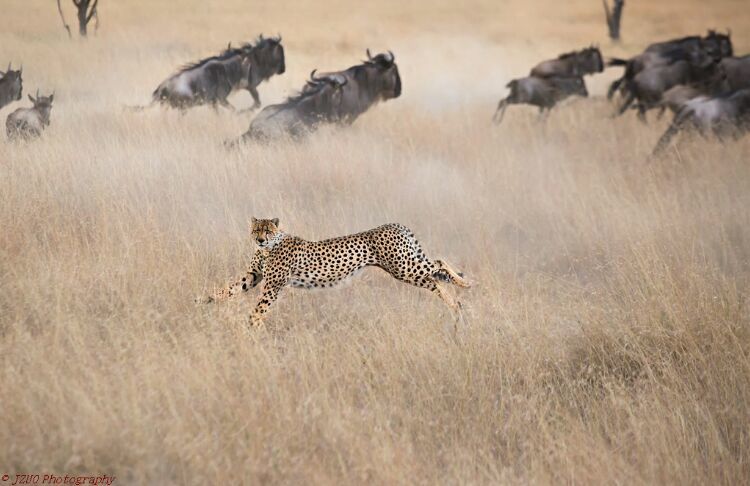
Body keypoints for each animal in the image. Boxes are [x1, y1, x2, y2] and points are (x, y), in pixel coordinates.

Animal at [206, 219, 470, 326]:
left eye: (267, 231)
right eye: (256, 230)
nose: (259, 240)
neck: (268, 248)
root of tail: (395, 224)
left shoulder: (271, 286)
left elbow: (259, 309)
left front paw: (252, 326)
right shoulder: (253, 276)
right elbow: (229, 289)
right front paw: (205, 299)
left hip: (403, 267)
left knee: (438, 264)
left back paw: (465, 285)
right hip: (407, 268)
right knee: (435, 280)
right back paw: (456, 304)